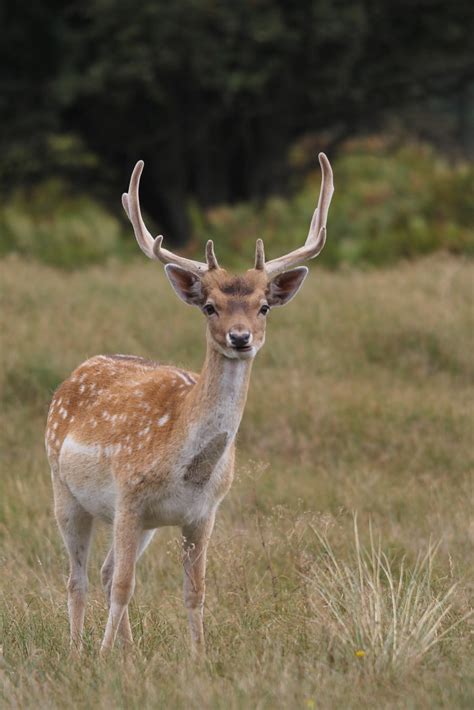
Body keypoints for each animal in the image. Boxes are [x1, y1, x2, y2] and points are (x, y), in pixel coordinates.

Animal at [44, 154, 334, 656]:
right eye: (210, 306)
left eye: (263, 306)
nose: (240, 338)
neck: (187, 467)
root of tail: (77, 371)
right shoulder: (129, 496)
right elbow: (125, 586)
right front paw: (101, 656)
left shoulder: (203, 514)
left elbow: (194, 591)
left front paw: (198, 657)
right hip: (64, 488)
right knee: (79, 578)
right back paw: (80, 650)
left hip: (141, 524)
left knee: (104, 571)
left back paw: (130, 654)